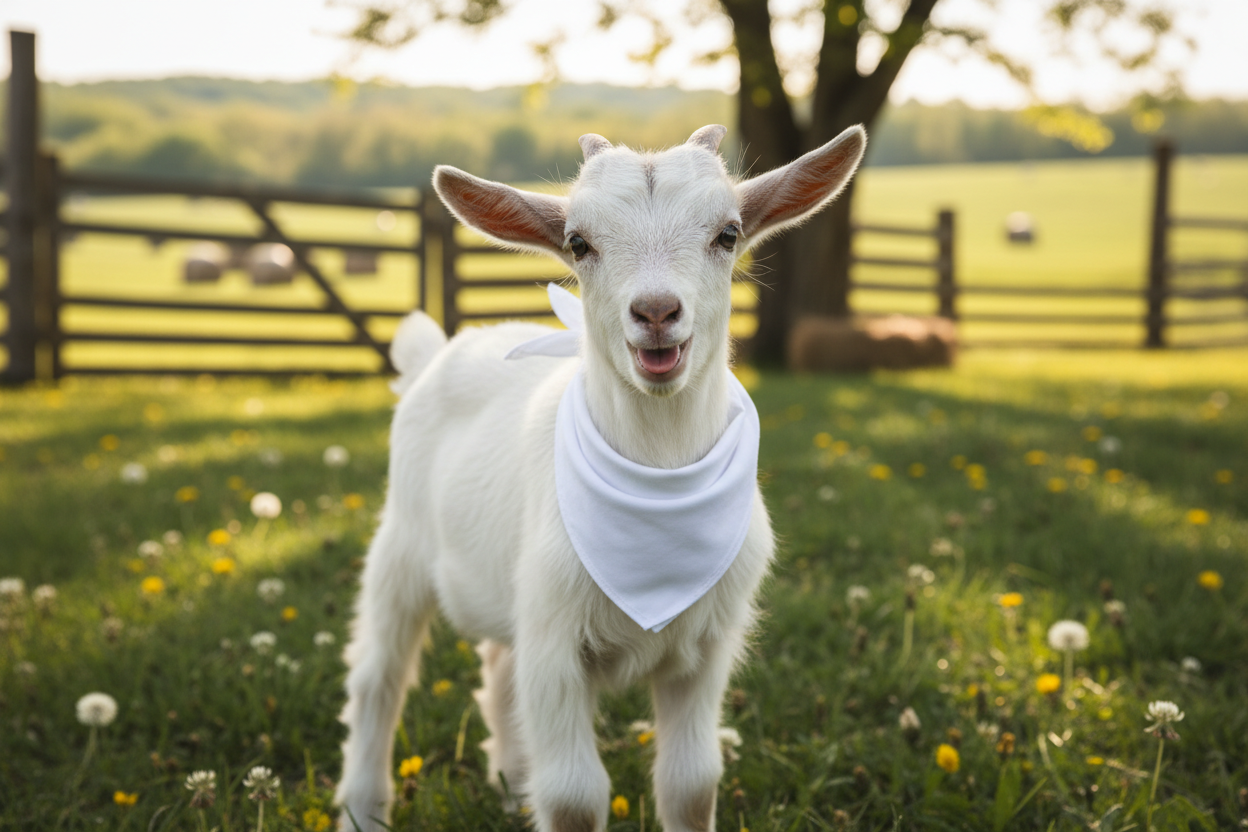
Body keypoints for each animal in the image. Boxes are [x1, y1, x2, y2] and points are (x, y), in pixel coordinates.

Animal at [335, 123, 866, 832]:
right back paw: (363, 808)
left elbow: (691, 783)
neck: (658, 482)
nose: (657, 311)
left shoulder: (706, 648)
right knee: (378, 678)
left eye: (728, 233)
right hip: (400, 548)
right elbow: (573, 797)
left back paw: (512, 786)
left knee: (497, 667)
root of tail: (434, 354)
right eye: (579, 243)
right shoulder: (556, 649)